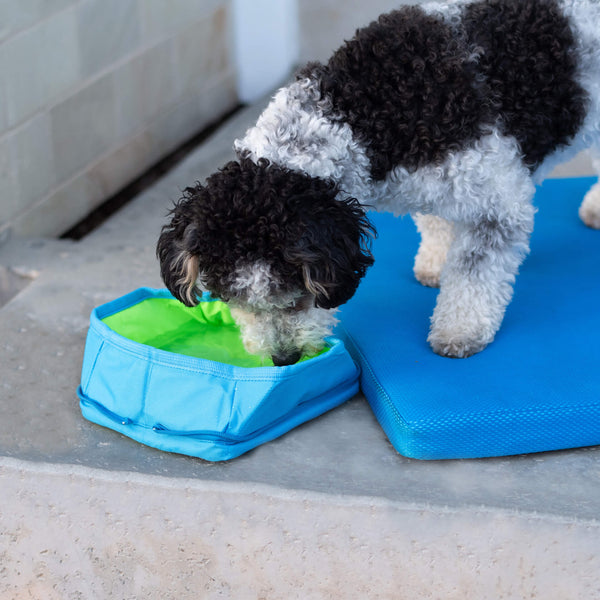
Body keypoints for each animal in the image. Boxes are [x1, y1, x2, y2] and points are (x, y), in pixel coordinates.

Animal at [158, 0, 600, 366]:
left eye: (298, 295)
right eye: (233, 299)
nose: (284, 359)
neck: (363, 117)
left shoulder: (496, 203)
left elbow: (475, 276)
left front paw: (459, 330)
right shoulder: (433, 185)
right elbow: (436, 222)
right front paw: (437, 262)